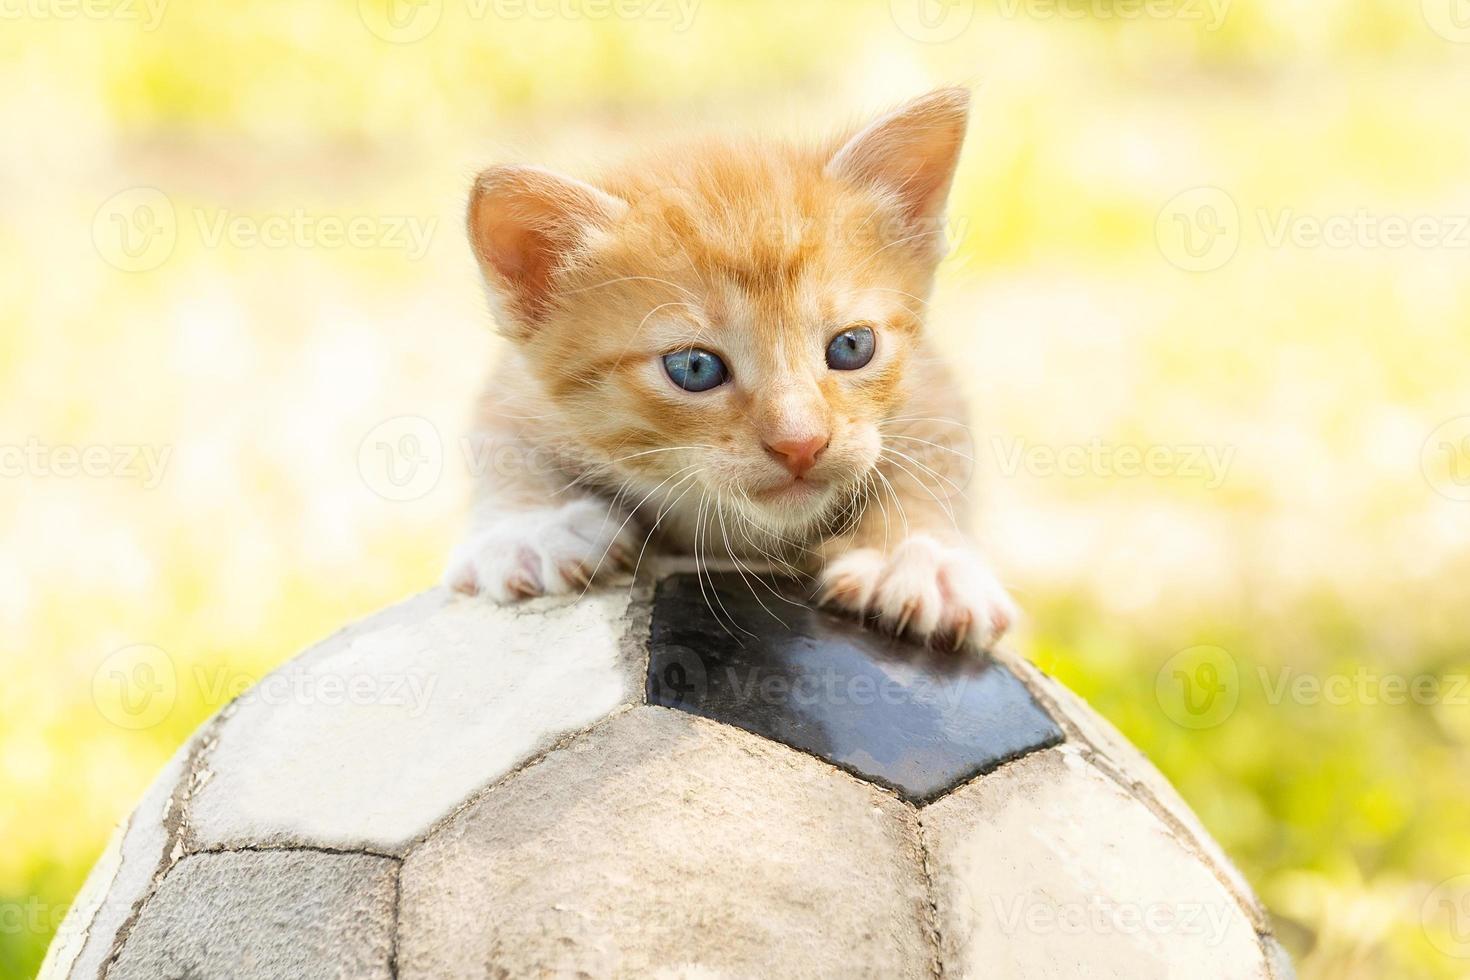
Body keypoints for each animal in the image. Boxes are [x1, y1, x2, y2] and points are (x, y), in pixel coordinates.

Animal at [446, 86, 1017, 652]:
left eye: (852, 347)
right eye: (695, 368)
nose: (801, 443)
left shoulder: (929, 380)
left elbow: (937, 450)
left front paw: (917, 554)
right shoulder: (518, 386)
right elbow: (500, 439)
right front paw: (530, 527)